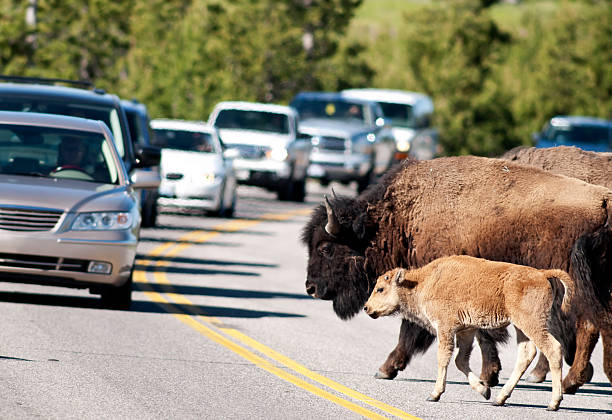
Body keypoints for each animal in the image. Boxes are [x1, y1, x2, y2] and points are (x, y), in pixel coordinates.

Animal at [364, 254, 572, 412]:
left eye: (380, 289)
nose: (366, 308)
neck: (422, 281)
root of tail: (542, 274)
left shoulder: (445, 328)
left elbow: (444, 358)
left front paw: (434, 394)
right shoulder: (466, 330)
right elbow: (460, 360)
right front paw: (484, 390)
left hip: (532, 324)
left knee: (553, 349)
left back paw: (553, 403)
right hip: (521, 327)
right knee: (526, 354)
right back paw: (499, 398)